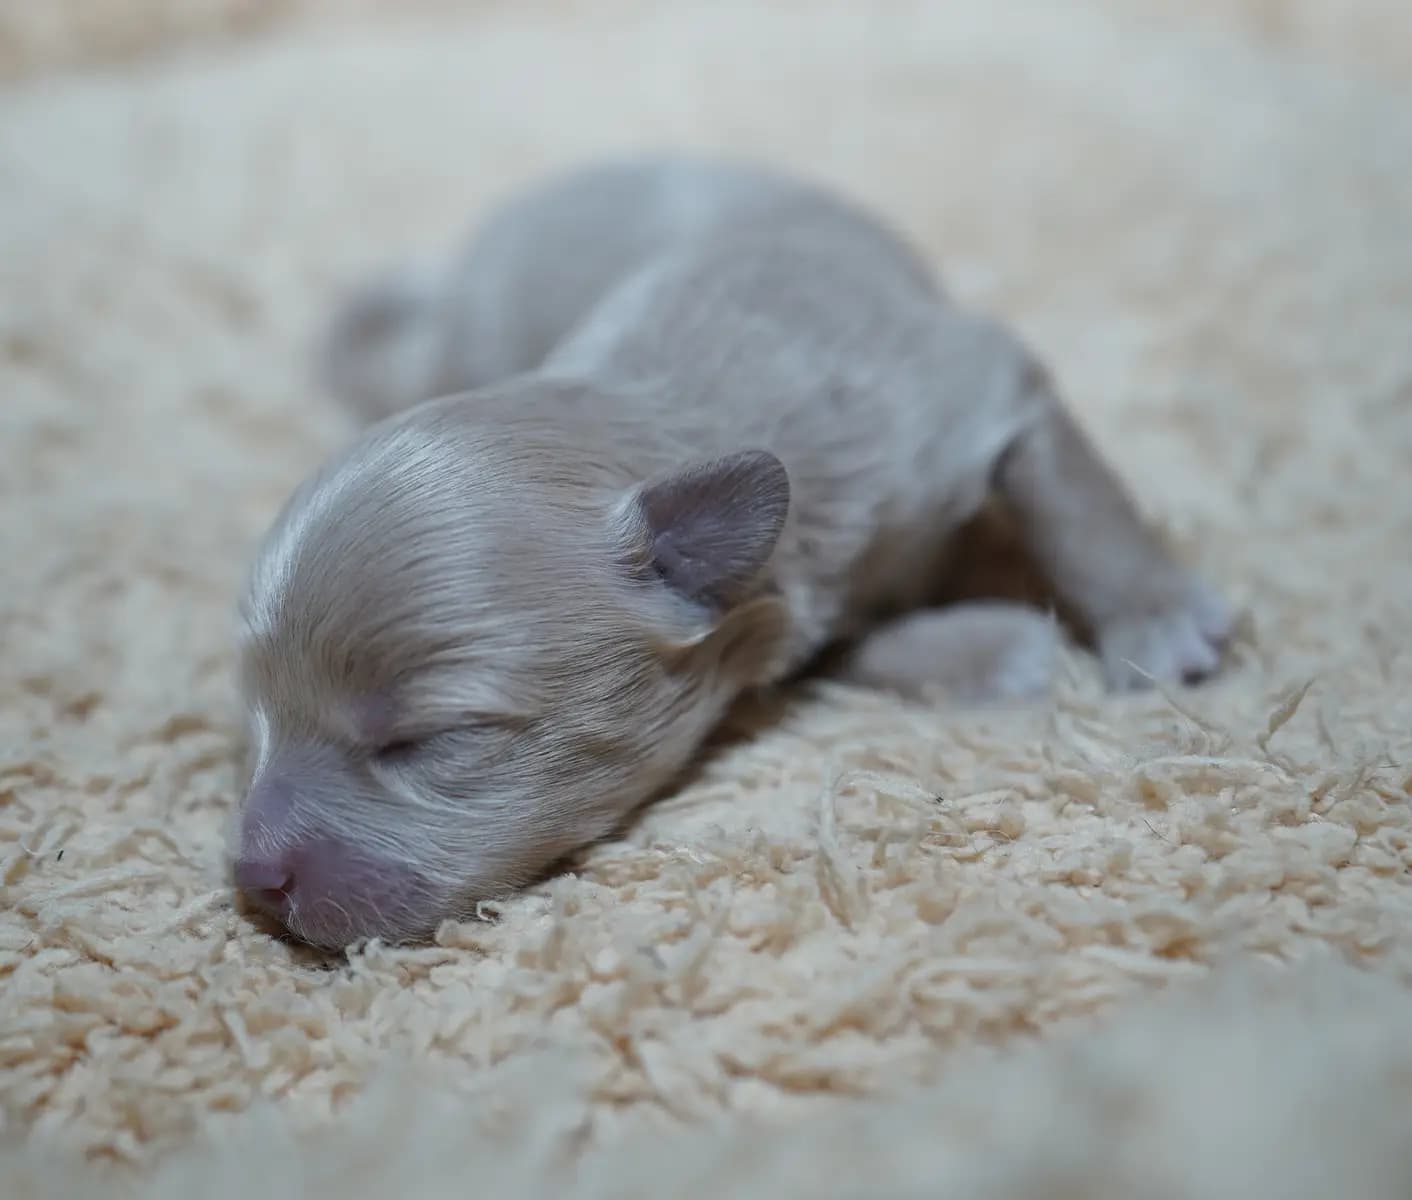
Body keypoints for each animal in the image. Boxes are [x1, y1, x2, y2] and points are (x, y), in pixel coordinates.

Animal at [234, 156, 1236, 943]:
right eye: (257, 718)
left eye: (426, 739)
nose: (253, 881)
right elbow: (844, 649)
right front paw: (989, 649)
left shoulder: (971, 390)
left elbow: (1078, 502)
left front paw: (1157, 620)